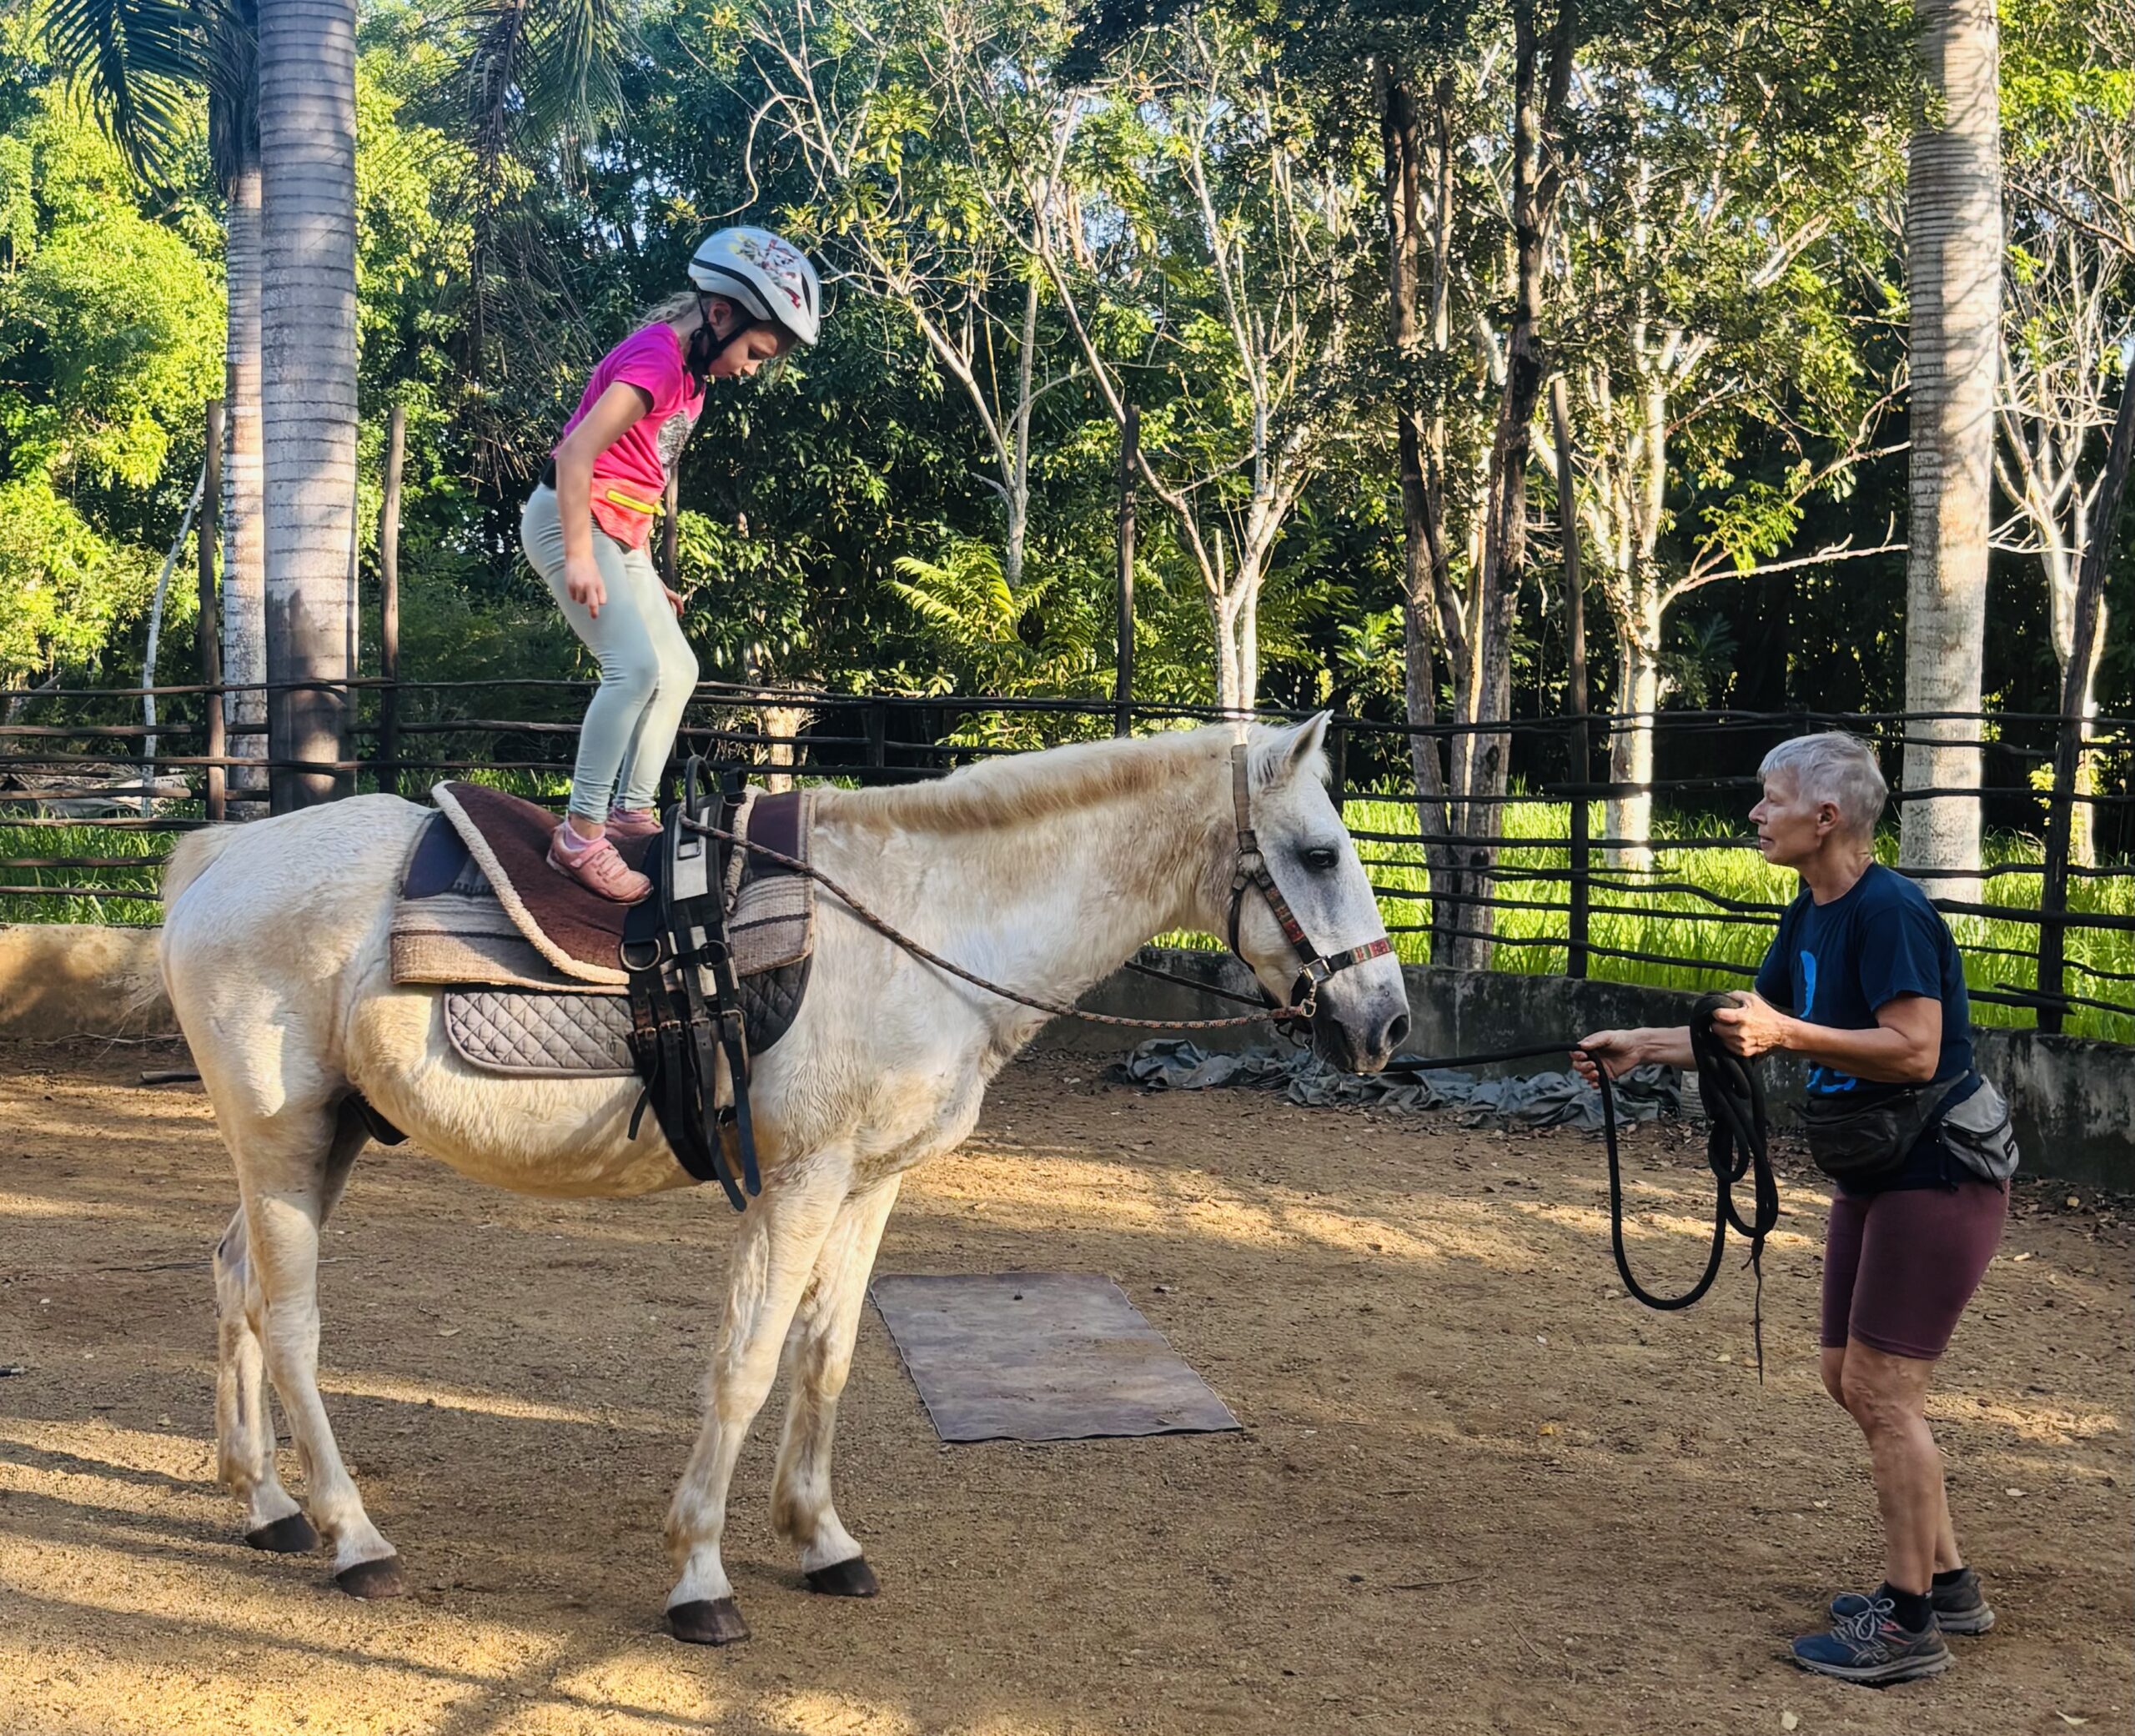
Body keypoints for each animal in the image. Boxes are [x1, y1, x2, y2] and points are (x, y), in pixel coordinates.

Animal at [157, 714, 1409, 1644]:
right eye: (1318, 854)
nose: (1387, 1023)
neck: (915, 925)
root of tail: (222, 858)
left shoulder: (865, 1184)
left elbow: (829, 1355)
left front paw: (820, 1540)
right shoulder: (796, 1184)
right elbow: (746, 1365)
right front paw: (700, 1576)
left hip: (324, 1139)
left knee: (232, 1283)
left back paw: (265, 1502)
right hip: (282, 1138)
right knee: (292, 1320)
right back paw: (353, 1537)